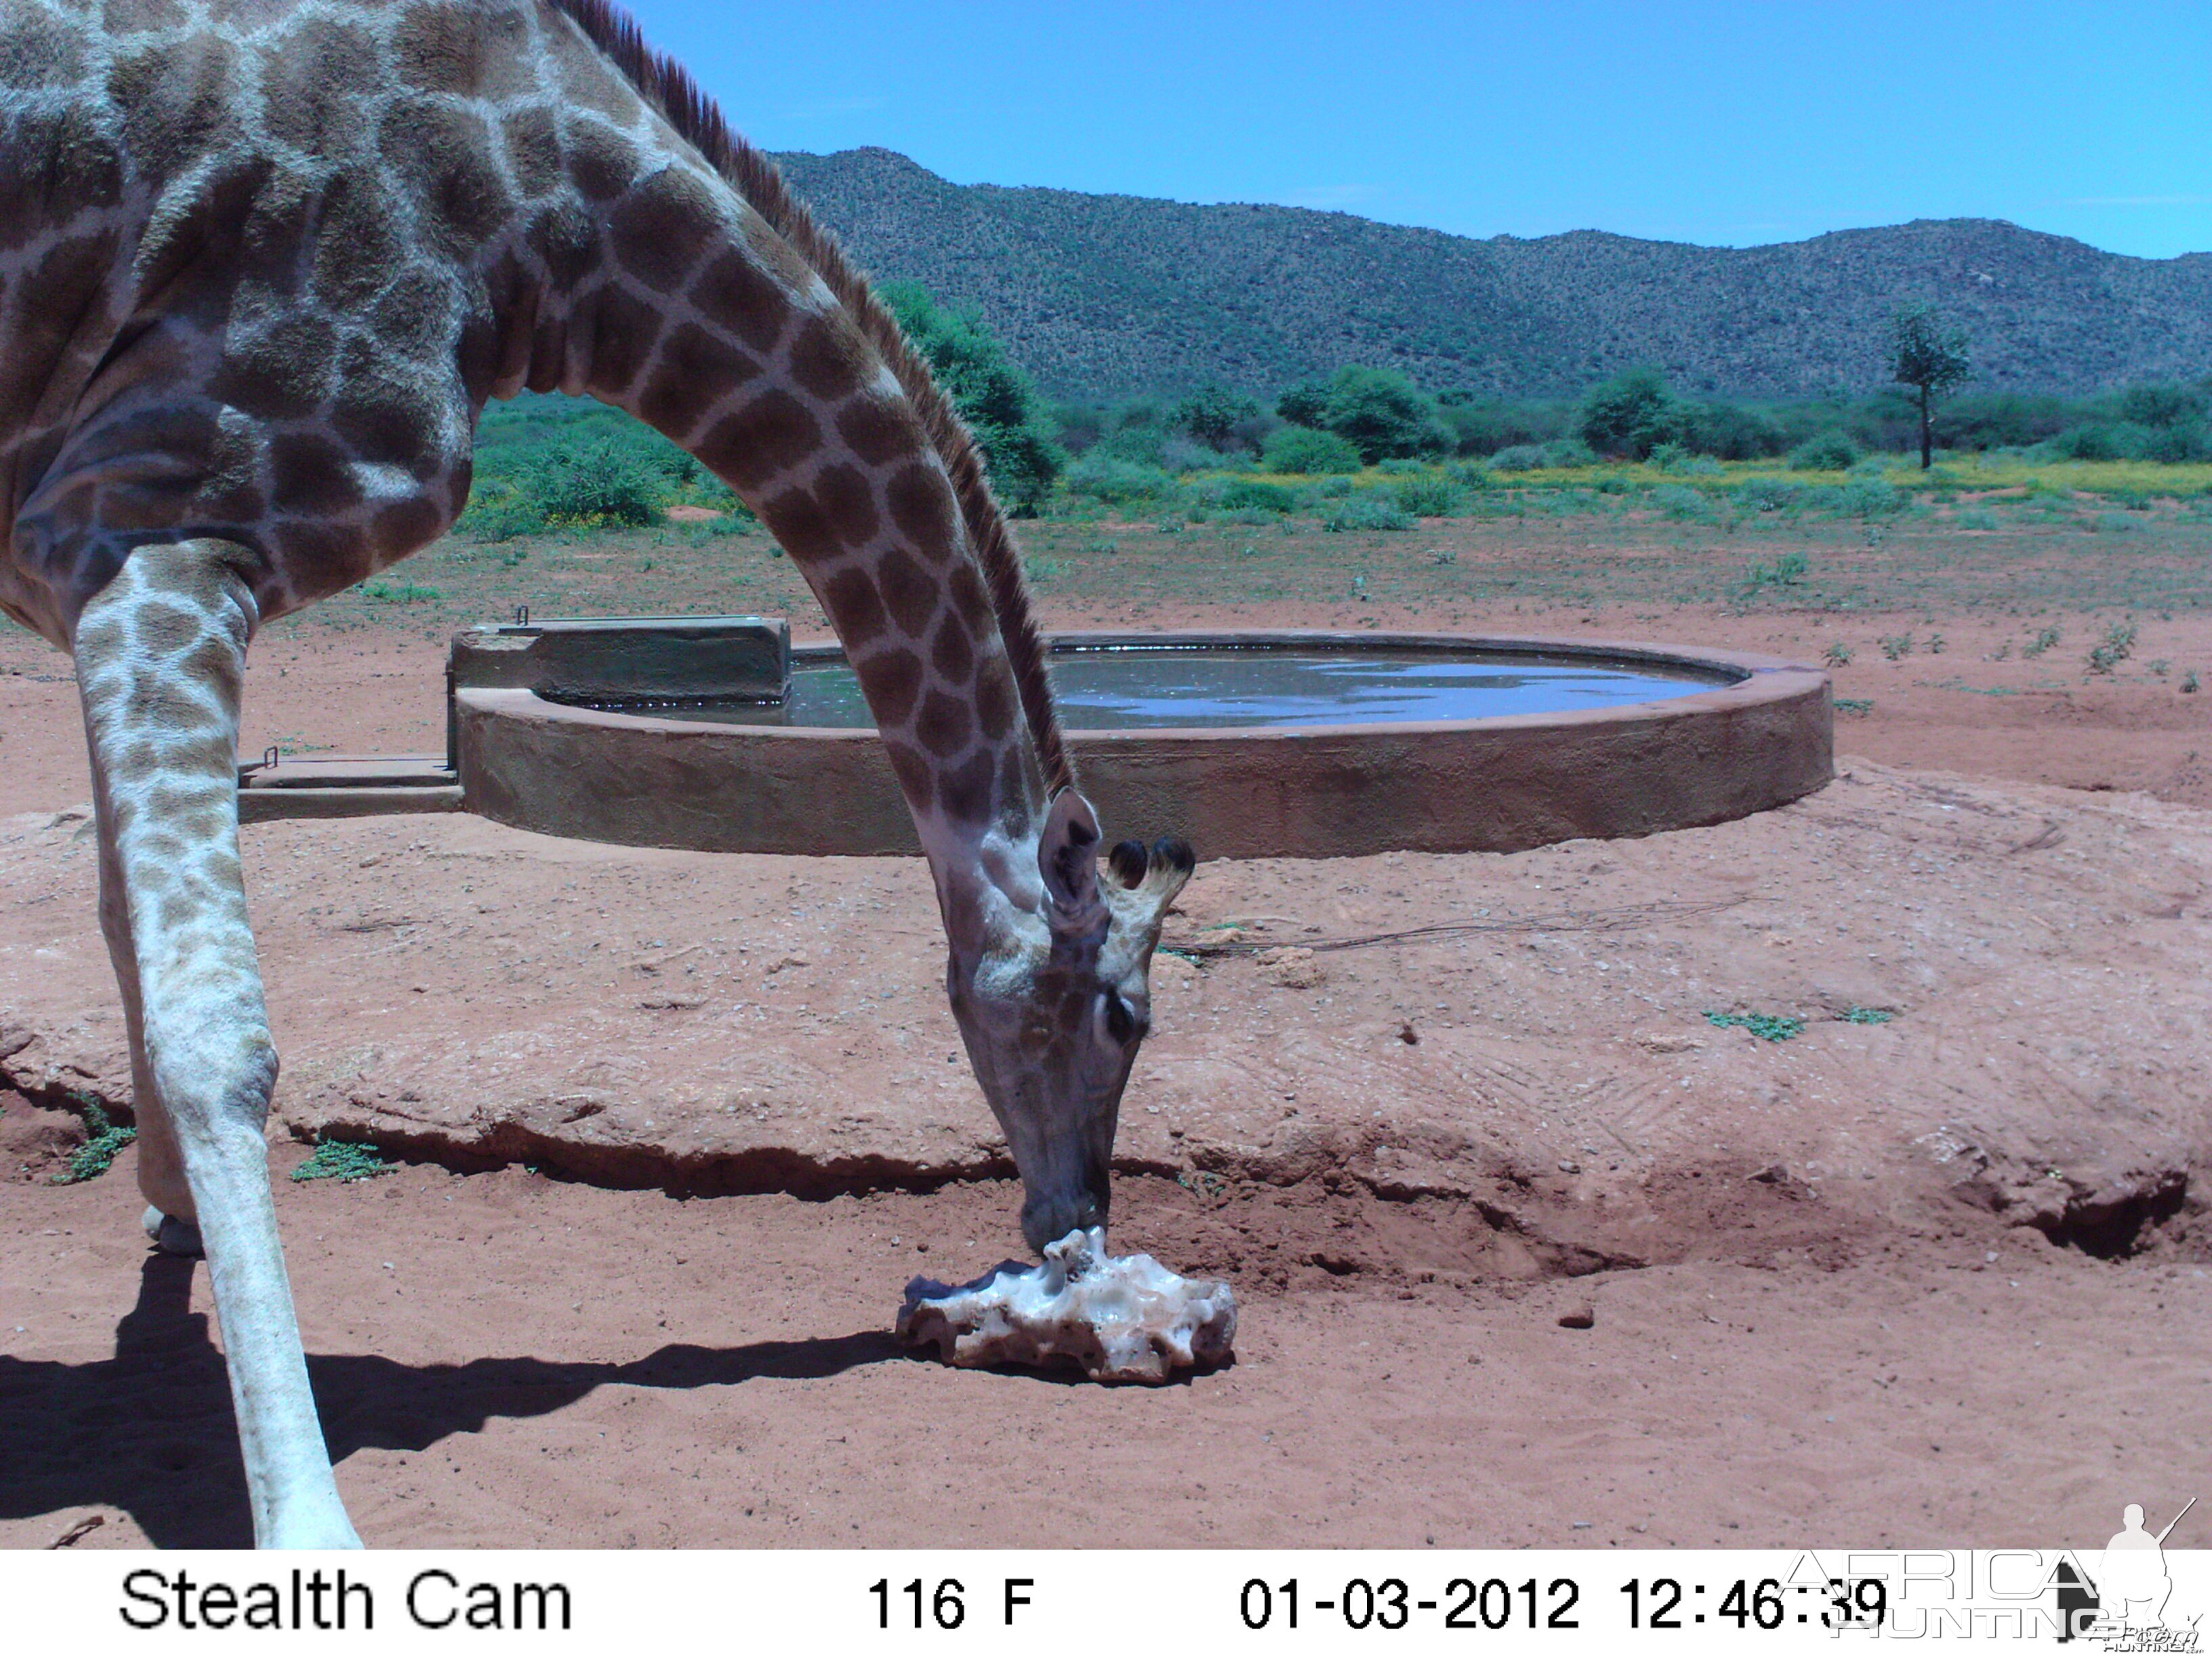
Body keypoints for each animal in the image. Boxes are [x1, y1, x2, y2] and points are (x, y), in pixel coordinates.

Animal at [0, 0, 1203, 1557]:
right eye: (1125, 1015)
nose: (1074, 1225)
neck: (543, 234)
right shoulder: (159, 528)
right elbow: (224, 1033)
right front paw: (310, 1527)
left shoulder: (70, 550)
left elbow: (117, 923)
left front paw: (167, 1220)